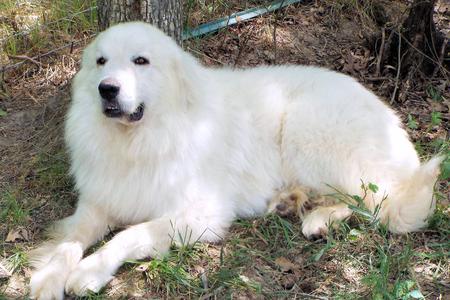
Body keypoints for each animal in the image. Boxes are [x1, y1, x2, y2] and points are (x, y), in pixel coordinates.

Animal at [29, 22, 442, 298]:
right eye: (101, 61)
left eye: (140, 61)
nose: (107, 89)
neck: (141, 139)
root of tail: (389, 116)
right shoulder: (97, 203)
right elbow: (70, 241)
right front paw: (49, 276)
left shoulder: (202, 214)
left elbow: (129, 235)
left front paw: (90, 270)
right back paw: (292, 202)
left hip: (306, 131)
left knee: (368, 201)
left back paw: (317, 219)